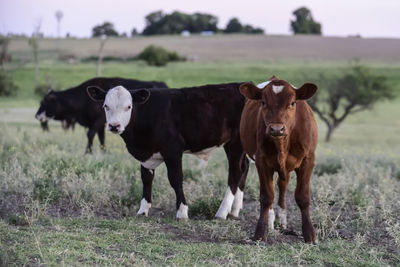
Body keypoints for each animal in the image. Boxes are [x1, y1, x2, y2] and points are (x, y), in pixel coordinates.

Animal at [33, 77, 166, 153]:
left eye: (45, 102)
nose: (37, 115)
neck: (83, 98)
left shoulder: (98, 121)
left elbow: (90, 134)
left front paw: (88, 152)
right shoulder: (102, 124)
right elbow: (101, 138)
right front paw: (104, 151)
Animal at [87, 84, 248, 222]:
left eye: (128, 106)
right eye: (106, 106)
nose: (114, 126)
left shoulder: (173, 150)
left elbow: (176, 179)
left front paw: (182, 212)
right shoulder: (147, 156)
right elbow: (146, 179)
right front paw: (143, 210)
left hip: (235, 143)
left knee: (235, 173)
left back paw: (222, 212)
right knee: (244, 167)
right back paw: (234, 210)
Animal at [238, 76, 318, 244]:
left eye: (292, 103)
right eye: (263, 102)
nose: (276, 129)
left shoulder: (308, 160)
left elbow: (303, 197)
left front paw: (310, 234)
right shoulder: (262, 161)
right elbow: (266, 196)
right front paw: (260, 234)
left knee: (282, 185)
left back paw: (282, 220)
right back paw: (271, 221)